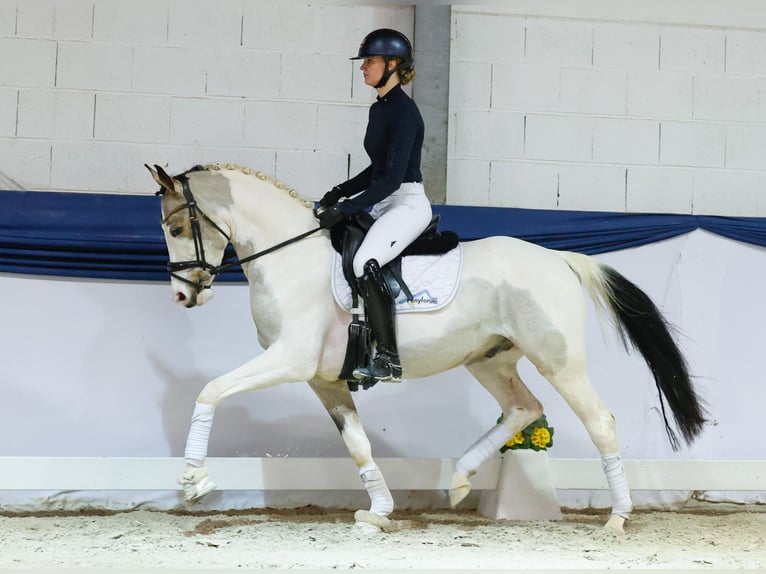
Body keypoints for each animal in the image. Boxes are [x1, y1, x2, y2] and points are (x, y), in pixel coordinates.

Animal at [146, 162, 706, 534]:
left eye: (175, 227)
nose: (182, 295)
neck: (290, 258)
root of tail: (559, 258)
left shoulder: (289, 359)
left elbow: (211, 390)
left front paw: (193, 480)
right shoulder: (324, 379)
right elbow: (358, 444)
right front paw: (377, 514)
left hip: (560, 361)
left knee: (599, 421)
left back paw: (617, 518)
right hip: (490, 360)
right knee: (524, 408)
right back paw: (459, 479)